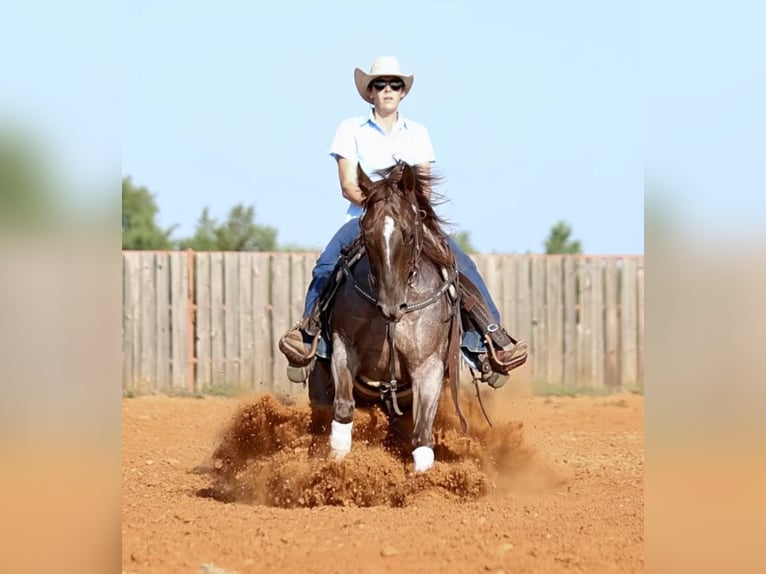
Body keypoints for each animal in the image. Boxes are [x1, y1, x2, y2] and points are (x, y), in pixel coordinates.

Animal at [308, 161, 468, 472]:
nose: (391, 304)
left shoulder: (428, 366)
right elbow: (343, 410)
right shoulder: (343, 348)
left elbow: (422, 434)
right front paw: (336, 469)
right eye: (366, 233)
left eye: (408, 234)